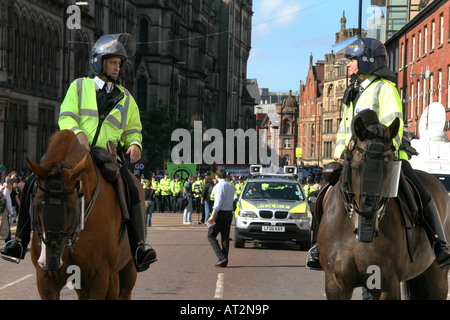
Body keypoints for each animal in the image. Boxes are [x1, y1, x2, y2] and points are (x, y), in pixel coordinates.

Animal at [28, 130, 141, 300]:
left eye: (73, 207)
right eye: (37, 204)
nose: (50, 259)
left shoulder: (99, 278)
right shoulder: (46, 279)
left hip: (127, 271)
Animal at [318, 111, 448, 298]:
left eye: (391, 169)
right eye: (355, 167)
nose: (367, 226)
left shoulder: (387, 283)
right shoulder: (335, 284)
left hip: (438, 278)